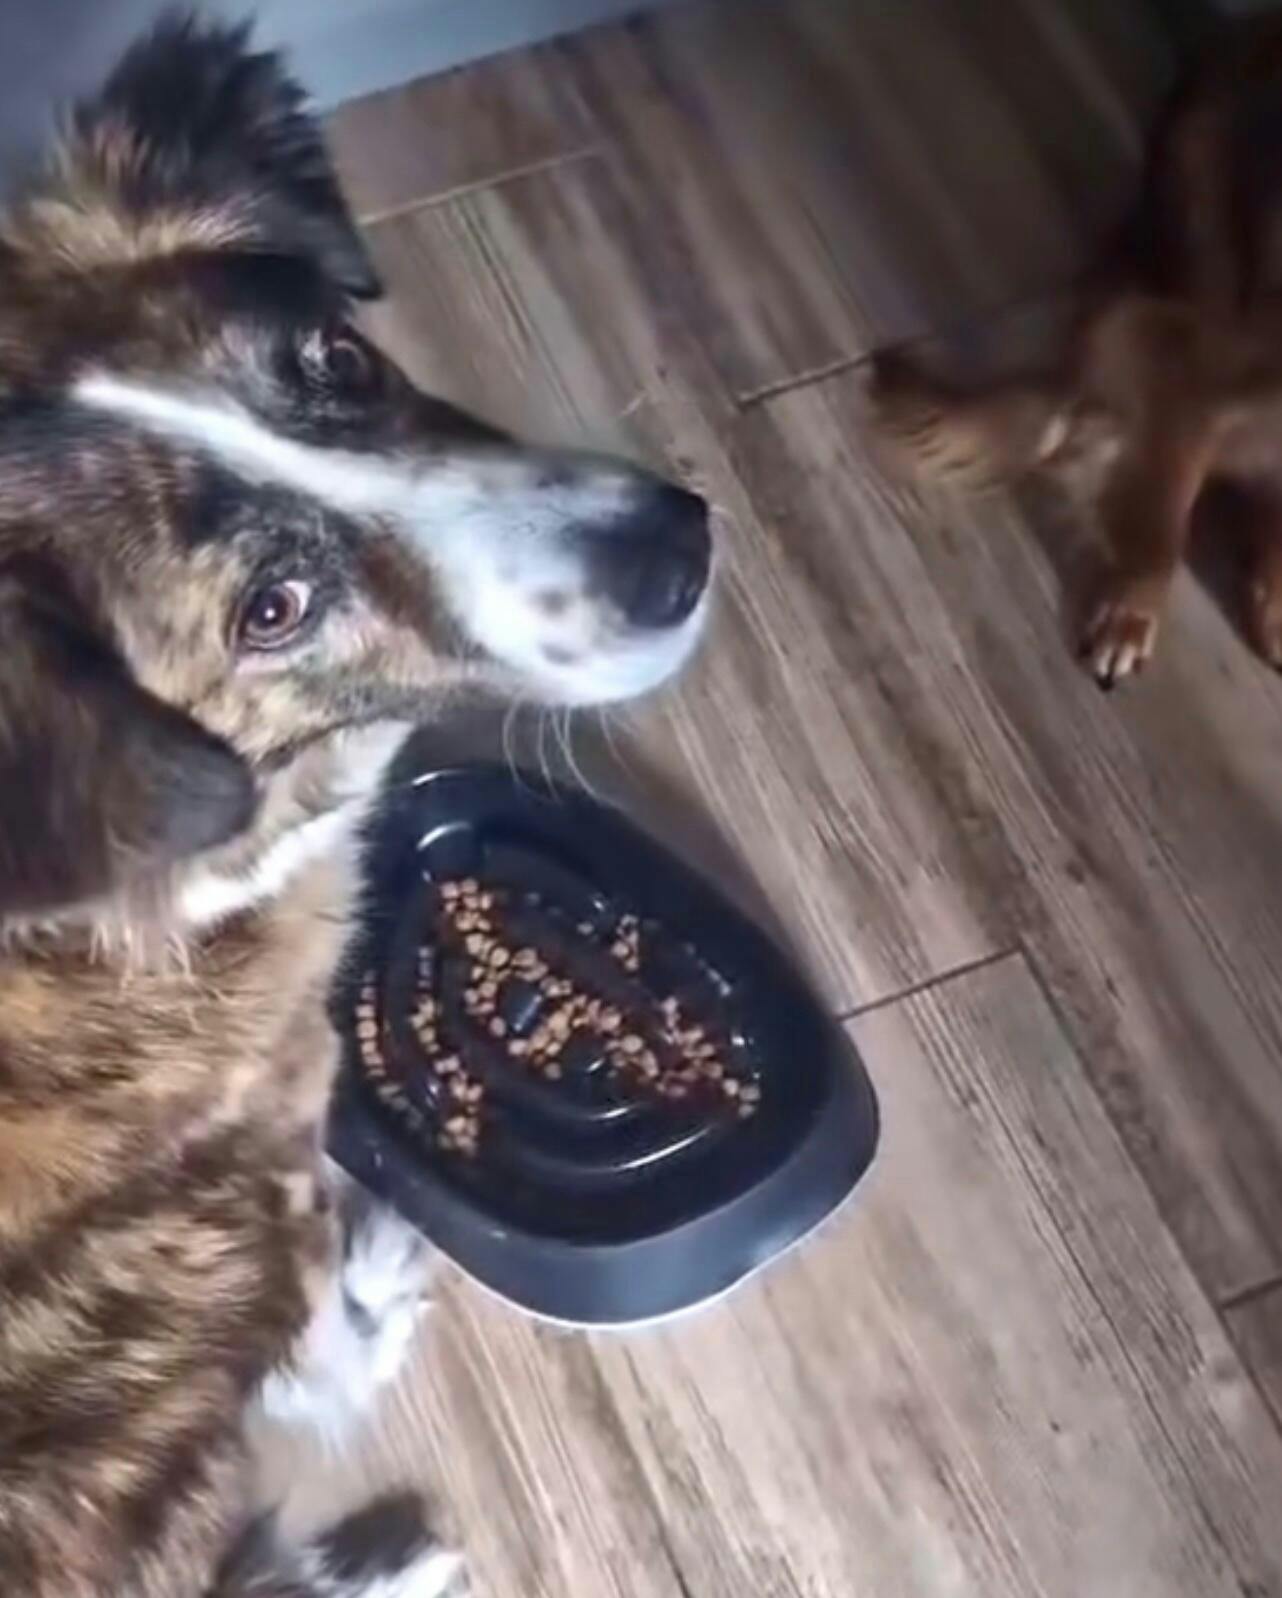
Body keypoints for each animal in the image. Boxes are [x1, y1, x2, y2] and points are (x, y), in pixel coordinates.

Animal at [0, 14, 711, 1596]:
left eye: (337, 352)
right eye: (271, 607)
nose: (678, 549)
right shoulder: (245, 1166)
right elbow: (306, 1300)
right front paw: (364, 1310)